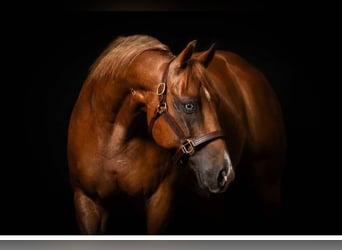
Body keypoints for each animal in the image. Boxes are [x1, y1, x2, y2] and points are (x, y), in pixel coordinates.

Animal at [67, 34, 286, 234]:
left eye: (217, 102)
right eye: (189, 105)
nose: (226, 172)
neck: (112, 141)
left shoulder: (160, 201)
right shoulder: (86, 201)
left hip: (268, 186)